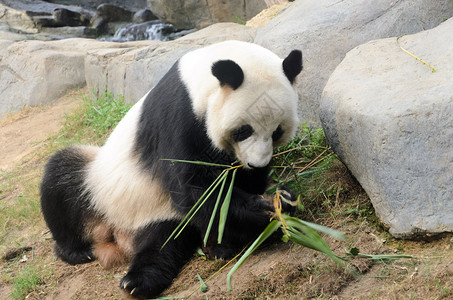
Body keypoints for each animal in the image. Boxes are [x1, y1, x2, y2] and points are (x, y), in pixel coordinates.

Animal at [40, 40, 302, 298]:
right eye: (244, 130)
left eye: (277, 131)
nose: (256, 163)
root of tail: (116, 238)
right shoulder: (178, 117)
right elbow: (192, 186)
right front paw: (267, 211)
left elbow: (228, 192)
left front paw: (280, 200)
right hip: (100, 184)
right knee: (62, 179)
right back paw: (76, 252)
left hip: (157, 214)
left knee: (164, 242)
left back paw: (141, 279)